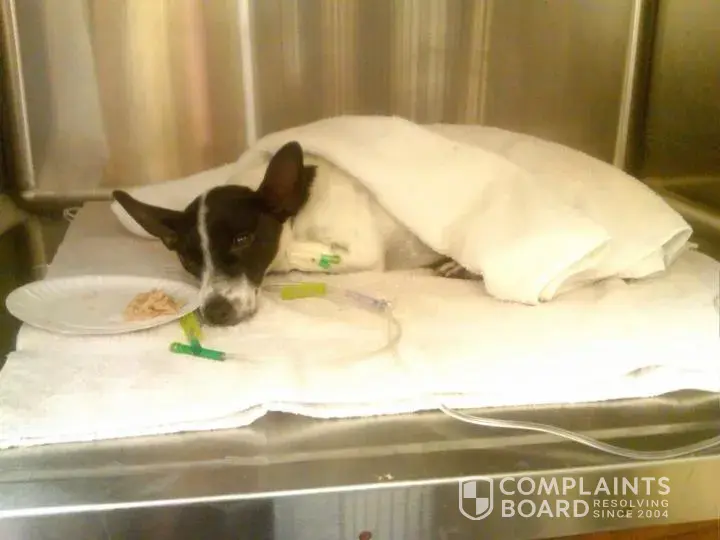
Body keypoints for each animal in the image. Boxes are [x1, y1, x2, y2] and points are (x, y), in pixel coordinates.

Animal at [113, 141, 479, 326]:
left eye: (243, 240)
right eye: (189, 260)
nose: (216, 314)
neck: (301, 210)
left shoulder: (363, 252)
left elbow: (292, 252)